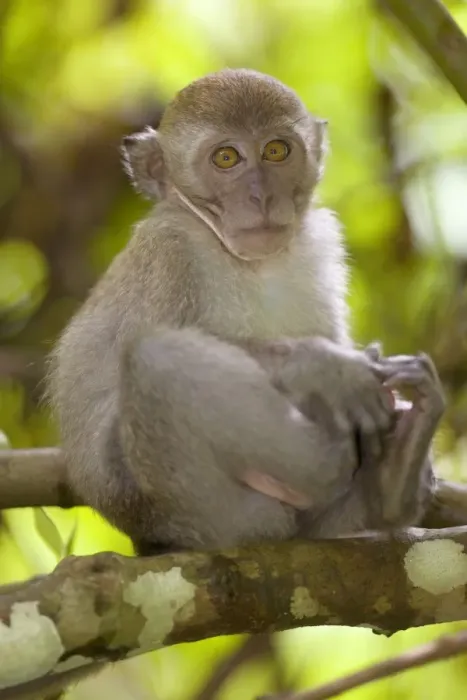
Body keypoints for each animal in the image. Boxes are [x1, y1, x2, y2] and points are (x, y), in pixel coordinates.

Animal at [47, 68, 445, 558]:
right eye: (226, 158)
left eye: (276, 151)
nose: (260, 196)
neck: (253, 262)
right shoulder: (167, 251)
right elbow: (140, 345)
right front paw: (326, 367)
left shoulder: (321, 240)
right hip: (195, 507)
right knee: (157, 358)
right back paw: (331, 460)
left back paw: (391, 483)